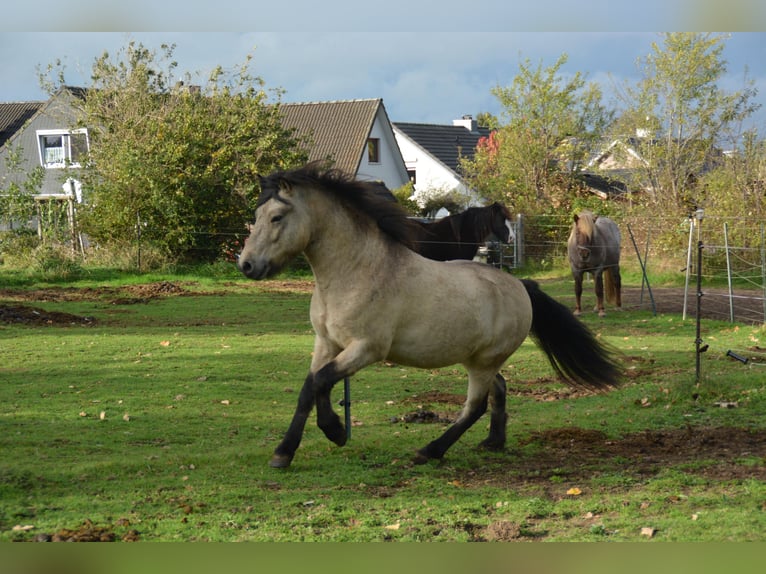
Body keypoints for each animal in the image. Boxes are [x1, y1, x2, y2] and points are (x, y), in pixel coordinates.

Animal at [238, 163, 621, 468]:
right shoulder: (326, 343)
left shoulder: (367, 349)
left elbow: (321, 381)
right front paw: (286, 452)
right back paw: (492, 443)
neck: (356, 272)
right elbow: (310, 387)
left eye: (276, 217)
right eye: (256, 216)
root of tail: (519, 286)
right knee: (498, 389)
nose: (247, 265)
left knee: (475, 405)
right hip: (478, 359)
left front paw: (334, 431)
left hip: (483, 362)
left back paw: (430, 451)